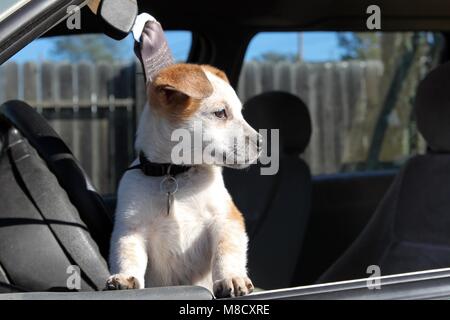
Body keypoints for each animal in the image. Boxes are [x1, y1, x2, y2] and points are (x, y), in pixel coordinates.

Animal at [106, 63, 260, 298]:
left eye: (240, 112)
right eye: (220, 113)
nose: (262, 143)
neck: (175, 173)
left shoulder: (226, 219)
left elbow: (226, 252)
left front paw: (231, 277)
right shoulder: (131, 230)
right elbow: (127, 255)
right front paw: (125, 277)